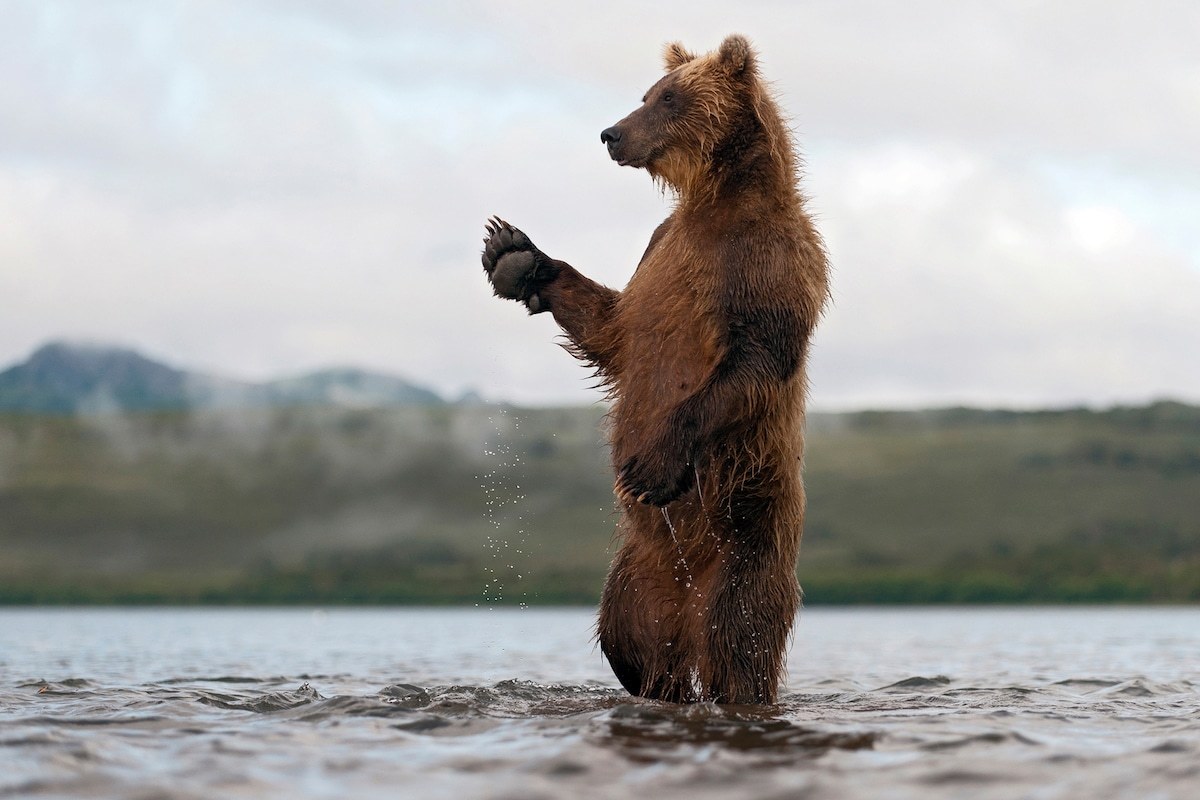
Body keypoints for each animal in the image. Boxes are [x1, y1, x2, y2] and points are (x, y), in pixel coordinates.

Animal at [477, 34, 825, 705]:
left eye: (668, 99)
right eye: (646, 93)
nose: (610, 133)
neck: (718, 202)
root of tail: (687, 603)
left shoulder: (770, 262)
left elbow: (754, 360)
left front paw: (652, 466)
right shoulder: (659, 255)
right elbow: (613, 330)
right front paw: (514, 254)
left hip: (747, 533)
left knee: (739, 642)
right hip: (638, 575)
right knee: (630, 645)